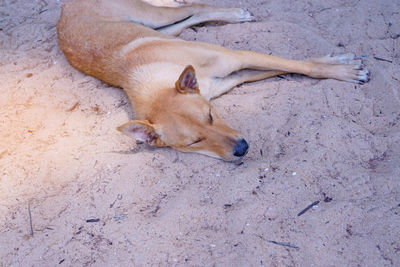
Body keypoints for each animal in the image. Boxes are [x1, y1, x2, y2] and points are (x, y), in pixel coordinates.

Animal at [56, 0, 368, 162]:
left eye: (210, 115)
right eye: (195, 141)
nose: (243, 149)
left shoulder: (238, 58)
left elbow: (301, 66)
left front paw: (343, 69)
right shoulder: (235, 75)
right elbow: (289, 68)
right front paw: (339, 65)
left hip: (152, 15)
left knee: (192, 7)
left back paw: (233, 14)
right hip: (158, 26)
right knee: (187, 18)